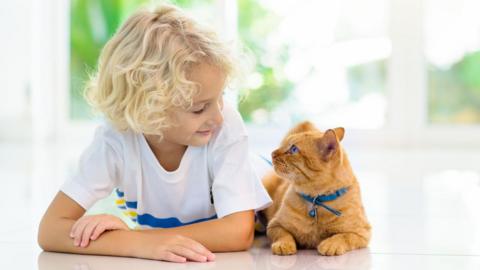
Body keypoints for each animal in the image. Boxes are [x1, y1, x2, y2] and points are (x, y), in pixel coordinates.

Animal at [262, 121, 372, 256]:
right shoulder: (275, 225)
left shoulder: (362, 232)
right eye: (285, 145)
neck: (316, 200)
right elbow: (283, 235)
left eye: (294, 149)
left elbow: (343, 236)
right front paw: (283, 245)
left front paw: (330, 244)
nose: (272, 153)